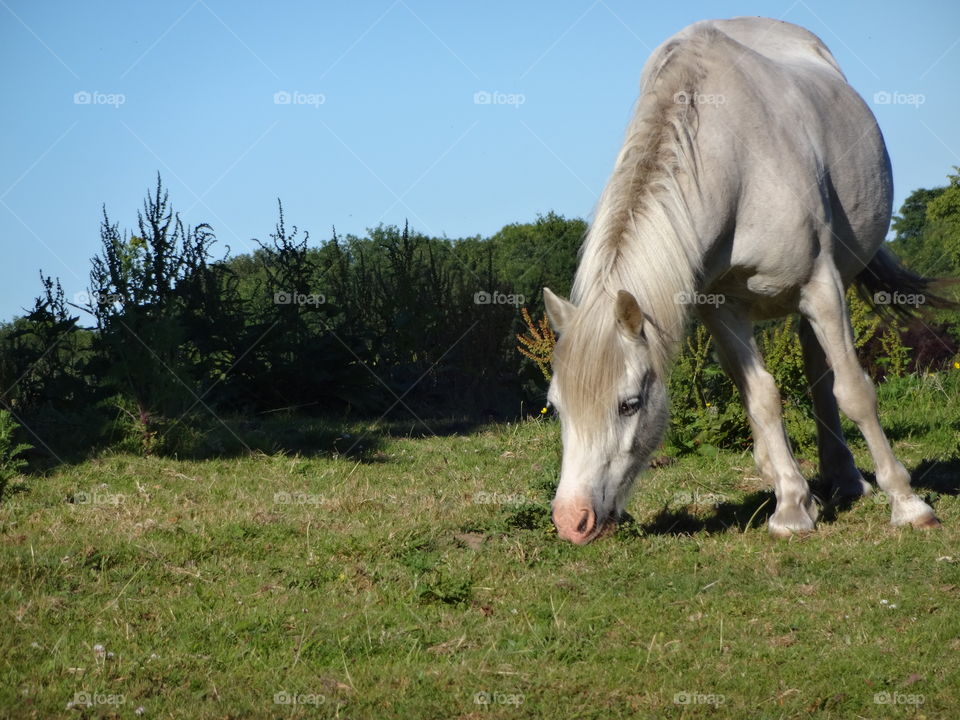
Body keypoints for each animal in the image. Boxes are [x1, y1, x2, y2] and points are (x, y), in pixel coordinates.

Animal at [544, 16, 940, 544]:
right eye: (557, 406)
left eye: (629, 404)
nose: (572, 521)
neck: (735, 165)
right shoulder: (720, 309)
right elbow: (763, 398)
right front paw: (792, 507)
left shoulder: (820, 287)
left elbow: (854, 392)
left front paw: (908, 502)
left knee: (822, 373)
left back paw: (845, 479)